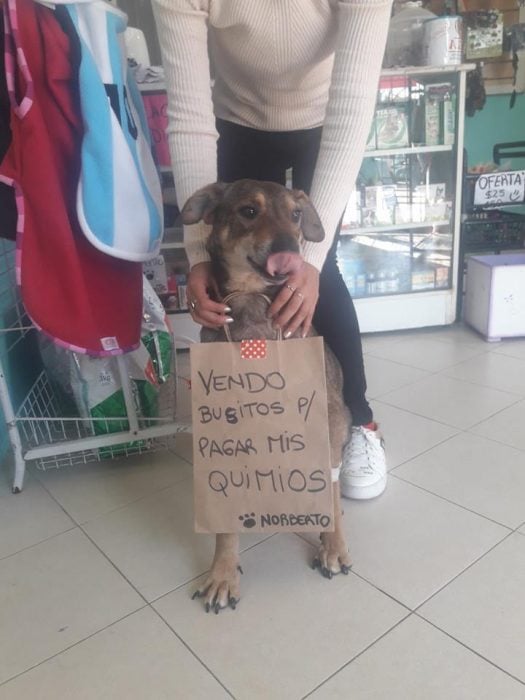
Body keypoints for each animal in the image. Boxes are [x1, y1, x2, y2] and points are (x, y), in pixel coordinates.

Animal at [182, 179, 350, 612]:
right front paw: (223, 573)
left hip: (334, 423)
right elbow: (225, 525)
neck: (251, 304)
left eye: (296, 214)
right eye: (248, 211)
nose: (290, 252)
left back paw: (333, 544)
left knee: (331, 488)